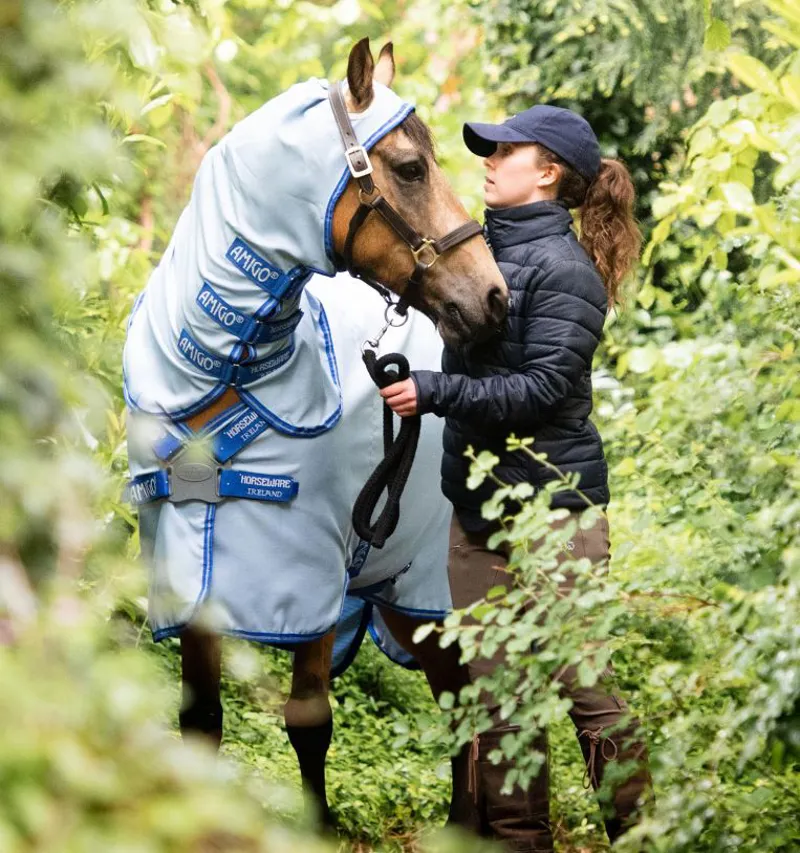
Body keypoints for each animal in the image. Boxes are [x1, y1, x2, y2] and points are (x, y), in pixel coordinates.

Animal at [123, 38, 507, 827]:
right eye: (411, 167)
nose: (494, 296)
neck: (220, 379)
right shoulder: (193, 585)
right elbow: (200, 721)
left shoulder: (312, 586)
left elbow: (308, 720)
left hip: (426, 585)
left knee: (466, 701)